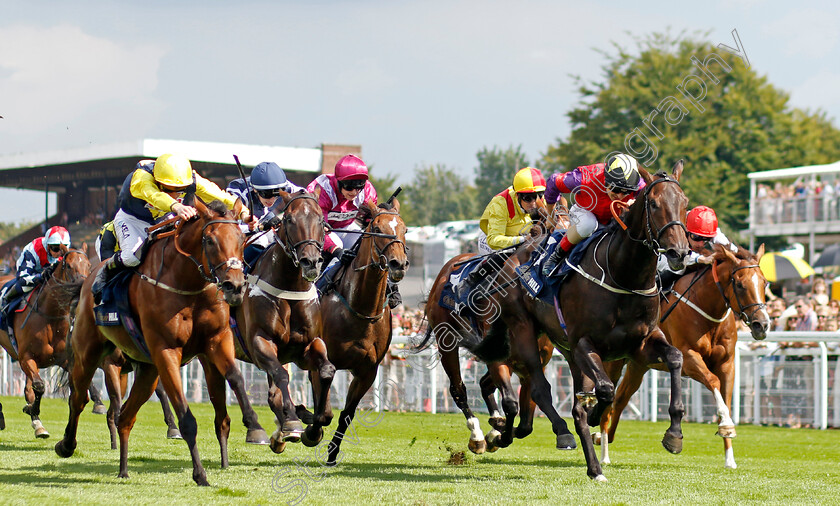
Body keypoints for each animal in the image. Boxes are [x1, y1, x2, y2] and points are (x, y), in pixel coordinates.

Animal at [0, 250, 92, 438]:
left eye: (89, 265)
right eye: (69, 266)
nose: (83, 288)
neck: (50, 316)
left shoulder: (64, 360)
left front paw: (34, 416)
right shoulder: (26, 358)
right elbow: (40, 386)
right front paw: (31, 410)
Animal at [55, 199, 260, 486]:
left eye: (242, 238)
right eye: (209, 240)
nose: (235, 286)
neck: (188, 285)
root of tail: (87, 281)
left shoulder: (216, 340)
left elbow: (236, 377)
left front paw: (255, 426)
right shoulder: (166, 351)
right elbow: (186, 419)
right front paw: (200, 474)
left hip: (147, 370)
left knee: (125, 417)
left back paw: (123, 469)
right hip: (88, 354)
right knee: (79, 399)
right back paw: (66, 445)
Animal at [231, 192, 336, 452]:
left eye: (321, 220)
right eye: (288, 219)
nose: (311, 262)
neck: (289, 287)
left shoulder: (307, 346)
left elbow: (326, 371)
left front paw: (313, 425)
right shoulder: (260, 342)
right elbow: (281, 377)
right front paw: (291, 421)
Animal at [314, 199, 408, 466]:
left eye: (405, 229)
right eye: (376, 228)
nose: (398, 264)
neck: (361, 308)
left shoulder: (368, 370)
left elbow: (347, 413)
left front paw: (332, 453)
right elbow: (321, 406)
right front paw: (311, 431)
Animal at [596, 242, 768, 470]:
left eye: (765, 283)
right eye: (739, 285)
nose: (762, 325)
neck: (706, 308)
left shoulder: (727, 363)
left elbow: (726, 397)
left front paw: (730, 458)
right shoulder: (688, 357)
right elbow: (713, 381)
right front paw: (726, 424)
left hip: (638, 365)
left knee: (622, 397)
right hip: (614, 361)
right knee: (610, 399)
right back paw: (603, 452)